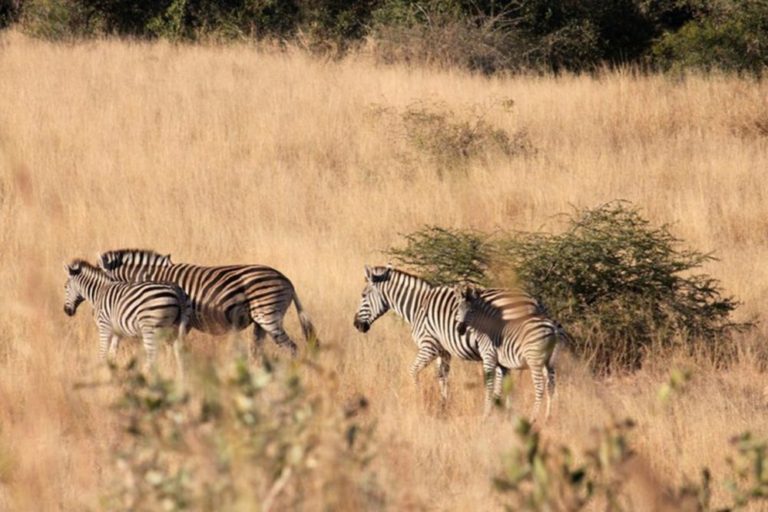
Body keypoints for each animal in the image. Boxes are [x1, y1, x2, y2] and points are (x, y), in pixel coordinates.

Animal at [63, 260, 192, 372]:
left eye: (65, 287)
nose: (66, 311)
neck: (99, 292)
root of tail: (177, 290)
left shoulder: (104, 326)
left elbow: (103, 352)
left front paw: (102, 370)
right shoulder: (117, 331)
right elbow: (112, 353)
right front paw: (111, 371)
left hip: (150, 328)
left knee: (152, 355)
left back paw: (145, 374)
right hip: (174, 328)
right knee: (178, 352)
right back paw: (179, 376)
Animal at [352, 266, 508, 414]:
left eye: (363, 295)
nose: (356, 324)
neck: (417, 307)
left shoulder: (429, 346)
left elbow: (413, 371)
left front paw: (418, 400)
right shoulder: (442, 351)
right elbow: (442, 376)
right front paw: (444, 405)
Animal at [452, 284, 568, 420]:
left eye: (471, 311)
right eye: (459, 310)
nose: (460, 329)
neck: (486, 328)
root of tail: (553, 328)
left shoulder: (489, 358)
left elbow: (490, 387)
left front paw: (486, 415)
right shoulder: (502, 365)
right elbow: (502, 388)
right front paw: (503, 414)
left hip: (535, 360)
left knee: (540, 387)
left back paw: (533, 418)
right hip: (550, 361)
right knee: (551, 386)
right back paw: (547, 417)